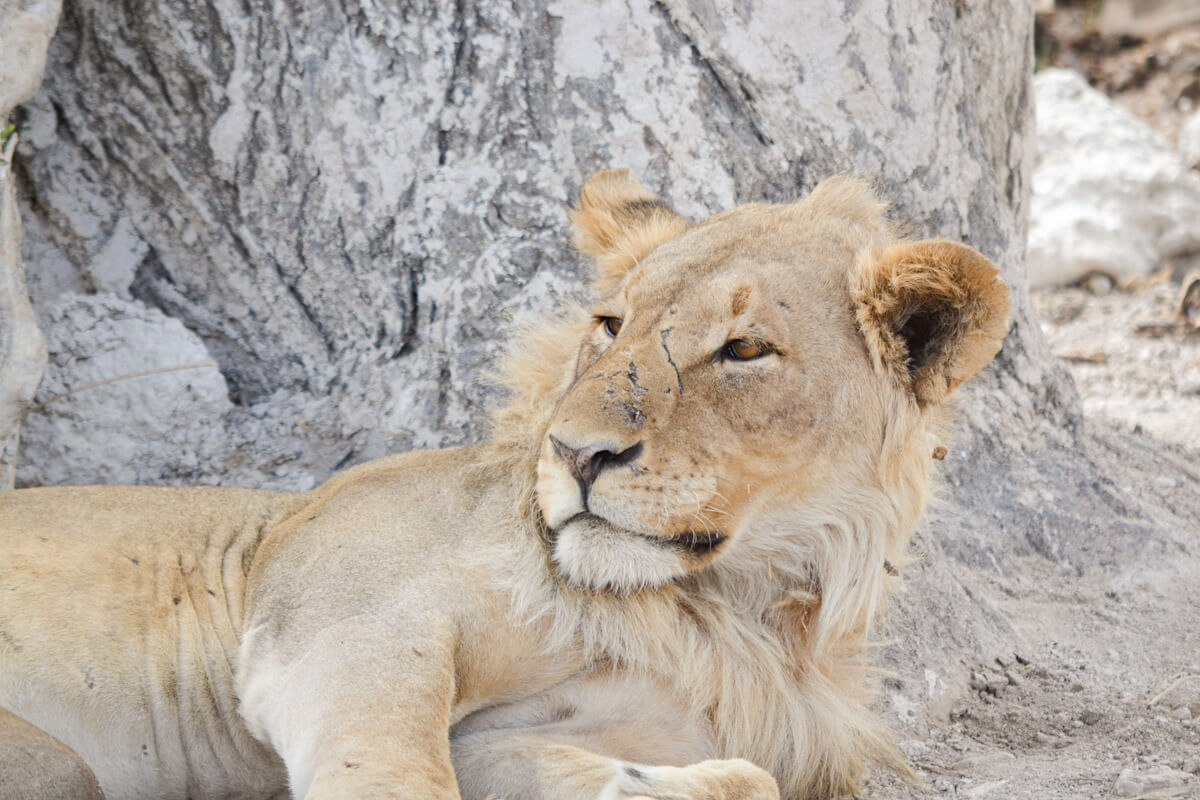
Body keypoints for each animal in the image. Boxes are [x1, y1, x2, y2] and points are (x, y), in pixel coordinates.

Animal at [0, 170, 1010, 800]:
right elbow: (397, 770)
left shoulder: (495, 741)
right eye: (611, 325)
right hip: (59, 766)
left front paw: (645, 784)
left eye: (746, 349)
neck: (725, 607)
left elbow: (743, 777)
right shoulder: (341, 624)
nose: (577, 453)